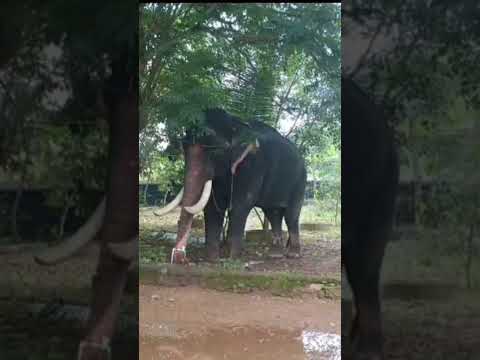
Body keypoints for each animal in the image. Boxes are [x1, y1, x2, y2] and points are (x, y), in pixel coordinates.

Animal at [158, 108, 308, 262]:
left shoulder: (253, 165)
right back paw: (275, 254)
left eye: (215, 151)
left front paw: (232, 258)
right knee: (273, 213)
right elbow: (212, 207)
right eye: (184, 147)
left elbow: (240, 206)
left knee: (291, 215)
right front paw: (213, 259)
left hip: (300, 181)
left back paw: (293, 254)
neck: (236, 123)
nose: (180, 258)